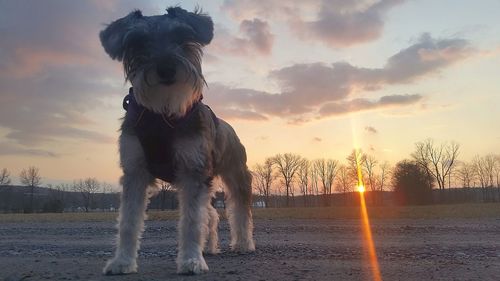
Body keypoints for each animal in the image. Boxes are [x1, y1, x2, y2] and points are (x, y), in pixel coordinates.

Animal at [99, 7, 254, 276]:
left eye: (182, 37)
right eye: (138, 42)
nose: (166, 68)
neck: (161, 115)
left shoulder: (193, 170)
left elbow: (192, 221)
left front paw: (191, 261)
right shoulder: (135, 172)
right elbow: (128, 221)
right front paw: (122, 262)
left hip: (236, 176)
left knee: (240, 210)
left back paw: (243, 243)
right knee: (211, 215)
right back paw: (209, 247)